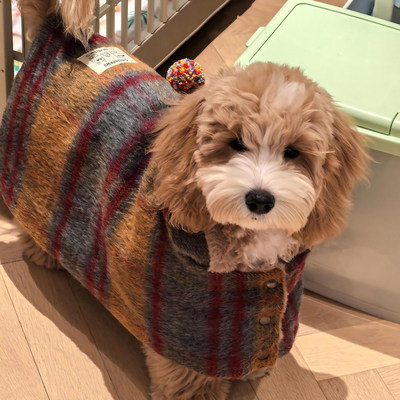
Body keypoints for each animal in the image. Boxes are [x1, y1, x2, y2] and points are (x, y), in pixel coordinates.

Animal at [0, 1, 368, 399]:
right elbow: (191, 382)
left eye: (293, 152)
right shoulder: (189, 333)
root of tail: (55, 32)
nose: (260, 199)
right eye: (235, 143)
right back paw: (43, 253)